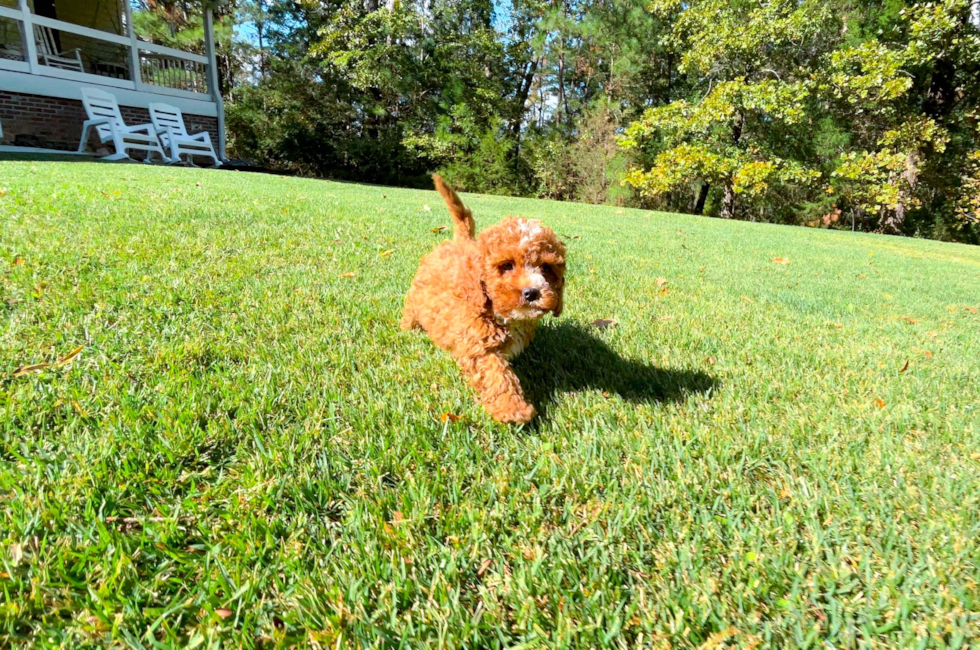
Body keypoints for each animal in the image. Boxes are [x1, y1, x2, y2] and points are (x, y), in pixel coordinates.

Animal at [400, 175, 568, 422]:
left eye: (546, 268)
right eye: (506, 265)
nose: (532, 292)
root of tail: (460, 241)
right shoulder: (477, 343)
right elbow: (497, 374)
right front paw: (513, 408)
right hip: (417, 296)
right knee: (411, 309)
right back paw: (408, 328)